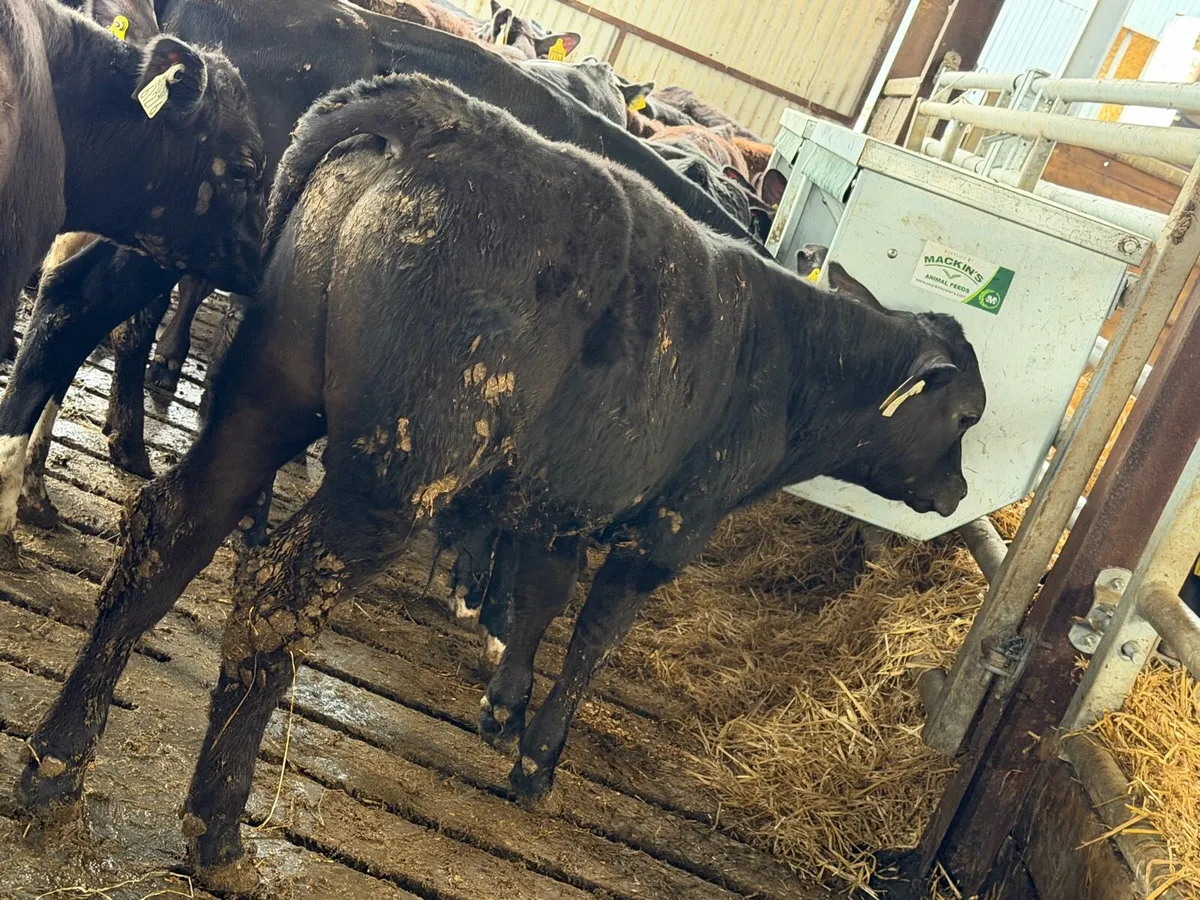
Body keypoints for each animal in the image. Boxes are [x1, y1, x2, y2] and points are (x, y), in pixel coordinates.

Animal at [15, 75, 986, 893]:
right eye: (970, 415)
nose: (958, 495)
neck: (789, 360)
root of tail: (441, 118)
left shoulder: (557, 504)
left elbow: (540, 603)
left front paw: (502, 705)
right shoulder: (671, 526)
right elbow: (592, 640)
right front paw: (538, 760)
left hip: (267, 392)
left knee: (169, 529)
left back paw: (55, 763)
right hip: (399, 470)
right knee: (276, 596)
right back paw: (215, 826)